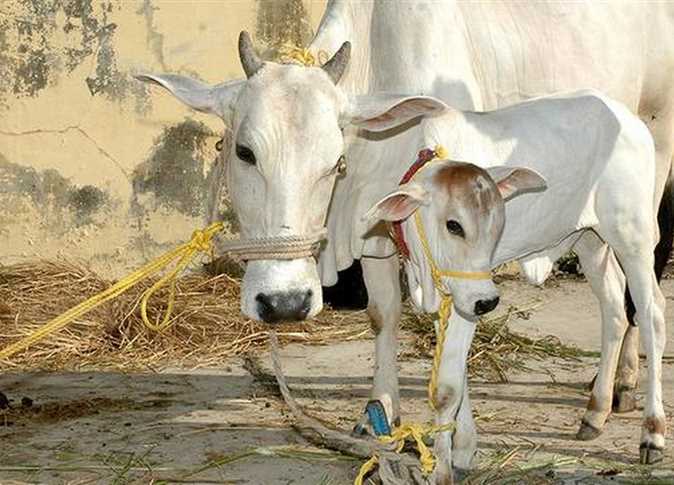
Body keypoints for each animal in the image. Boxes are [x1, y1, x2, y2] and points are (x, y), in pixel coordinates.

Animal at [362, 91, 660, 480]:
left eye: (498, 223)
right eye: (454, 225)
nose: (489, 302)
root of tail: (630, 120)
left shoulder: (467, 299)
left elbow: (446, 388)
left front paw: (443, 468)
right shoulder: (451, 296)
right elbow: (455, 371)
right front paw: (462, 449)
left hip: (633, 237)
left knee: (651, 315)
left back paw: (652, 433)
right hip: (590, 241)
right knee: (615, 309)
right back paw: (595, 413)